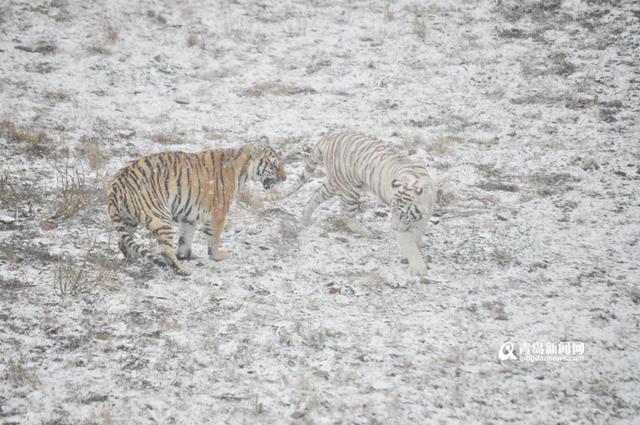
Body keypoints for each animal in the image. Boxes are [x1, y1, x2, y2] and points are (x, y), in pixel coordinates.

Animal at [107, 145, 284, 274]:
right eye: (275, 165)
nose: (285, 178)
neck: (242, 169)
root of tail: (117, 182)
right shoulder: (218, 213)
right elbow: (214, 238)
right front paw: (217, 256)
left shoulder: (189, 217)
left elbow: (185, 239)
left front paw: (186, 255)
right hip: (160, 217)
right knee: (165, 250)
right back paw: (183, 270)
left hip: (128, 220)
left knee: (123, 242)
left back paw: (133, 260)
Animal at [272, 131, 438, 274]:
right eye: (393, 212)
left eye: (403, 214)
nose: (393, 227)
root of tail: (329, 137)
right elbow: (409, 243)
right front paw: (418, 267)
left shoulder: (426, 214)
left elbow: (419, 231)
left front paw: (419, 242)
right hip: (350, 189)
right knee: (346, 215)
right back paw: (366, 231)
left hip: (333, 184)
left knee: (315, 197)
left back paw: (305, 219)